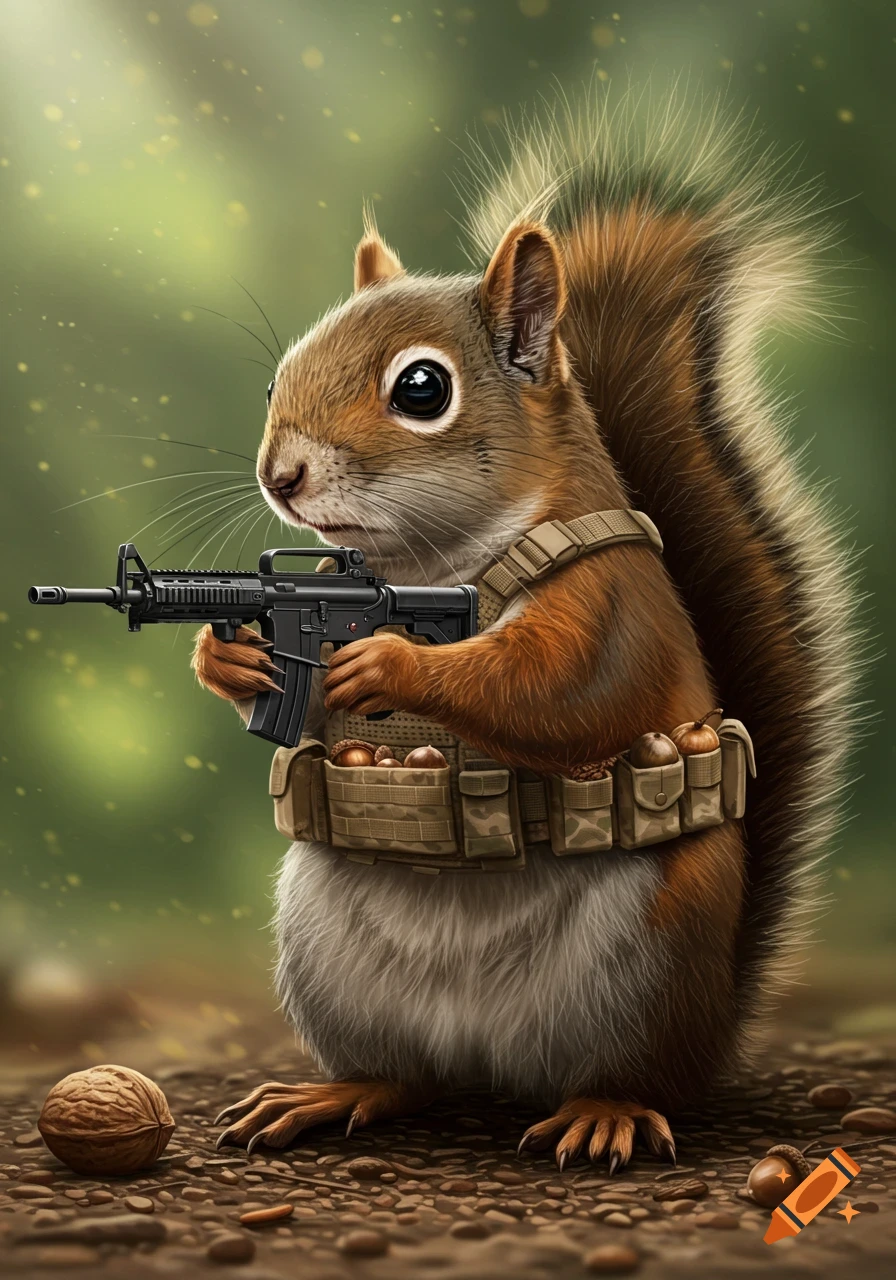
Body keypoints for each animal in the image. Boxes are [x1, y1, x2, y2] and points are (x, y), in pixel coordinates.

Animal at [194, 91, 861, 1172]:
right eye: (274, 380)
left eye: (421, 389)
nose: (278, 474)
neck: (429, 566)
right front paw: (226, 651)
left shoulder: (610, 601)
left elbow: (559, 693)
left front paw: (389, 660)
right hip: (329, 965)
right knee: (402, 1075)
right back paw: (331, 1091)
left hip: (651, 961)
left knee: (634, 1073)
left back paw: (607, 1112)